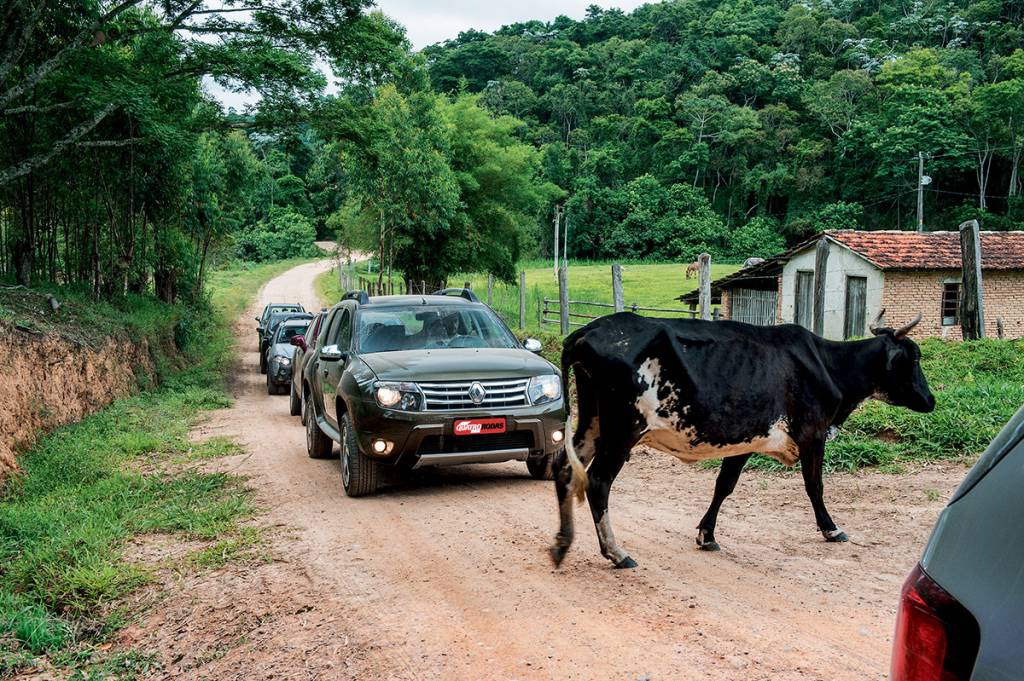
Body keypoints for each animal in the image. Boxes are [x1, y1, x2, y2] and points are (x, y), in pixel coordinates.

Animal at [552, 311, 937, 569]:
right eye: (914, 358)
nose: (931, 400)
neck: (828, 365)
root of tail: (586, 331)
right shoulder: (812, 434)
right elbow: (815, 486)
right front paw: (831, 529)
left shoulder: (745, 440)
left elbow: (724, 485)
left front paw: (706, 535)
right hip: (622, 431)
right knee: (598, 481)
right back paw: (616, 553)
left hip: (592, 422)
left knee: (564, 469)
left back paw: (561, 542)